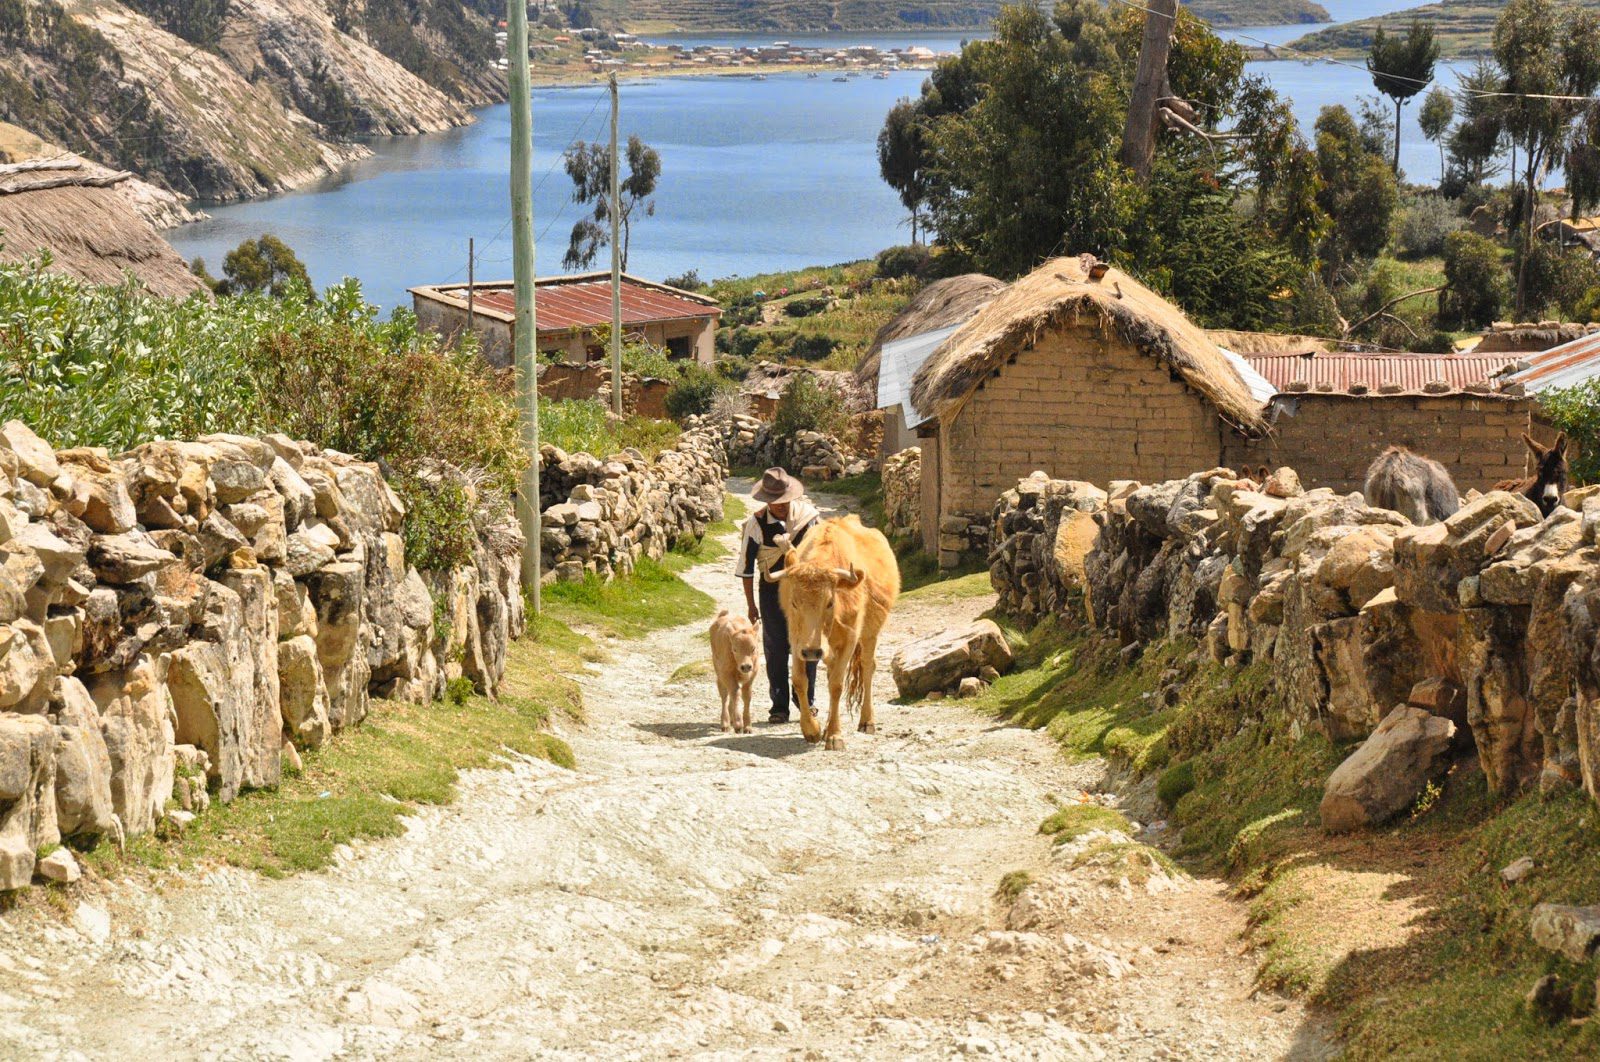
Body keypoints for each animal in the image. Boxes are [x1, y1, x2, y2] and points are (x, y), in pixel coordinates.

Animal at [764, 511, 896, 745]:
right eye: (794, 603)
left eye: (830, 602)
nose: (812, 651)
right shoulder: (797, 639)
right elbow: (800, 680)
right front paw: (813, 729)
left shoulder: (850, 639)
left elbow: (836, 684)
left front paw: (834, 735)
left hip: (870, 634)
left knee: (868, 667)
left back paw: (867, 721)